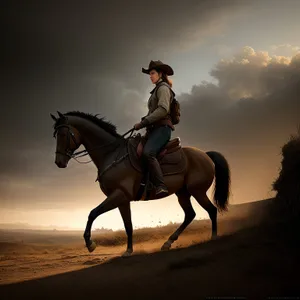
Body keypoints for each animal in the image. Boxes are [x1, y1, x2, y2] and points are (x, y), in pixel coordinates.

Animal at [51, 111, 230, 256]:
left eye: (63, 134)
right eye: (55, 135)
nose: (59, 162)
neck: (112, 154)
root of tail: (205, 155)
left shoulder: (119, 195)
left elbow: (93, 213)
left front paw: (90, 244)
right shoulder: (122, 200)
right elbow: (128, 225)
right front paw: (129, 250)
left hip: (197, 191)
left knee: (211, 210)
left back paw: (213, 237)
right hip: (183, 193)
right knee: (190, 214)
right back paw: (168, 243)